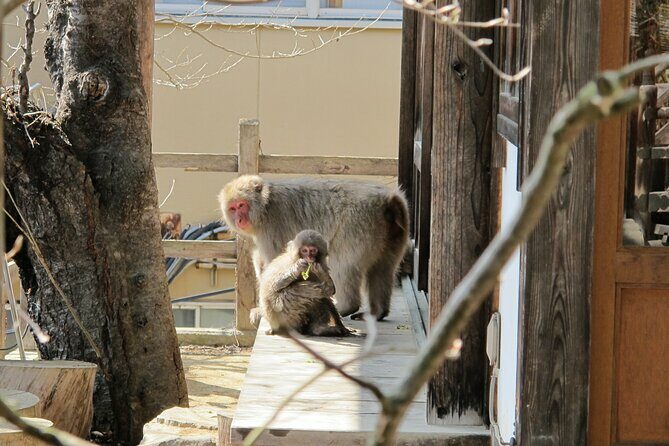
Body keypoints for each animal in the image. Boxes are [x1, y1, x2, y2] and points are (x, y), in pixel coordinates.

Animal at [219, 175, 409, 321]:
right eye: (233, 208)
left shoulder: (271, 228)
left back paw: (346, 307)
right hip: (393, 234)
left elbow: (275, 263)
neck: (265, 206)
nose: (239, 220)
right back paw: (378, 312)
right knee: (383, 268)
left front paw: (263, 309)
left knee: (344, 264)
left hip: (358, 226)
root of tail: (389, 200)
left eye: (242, 205)